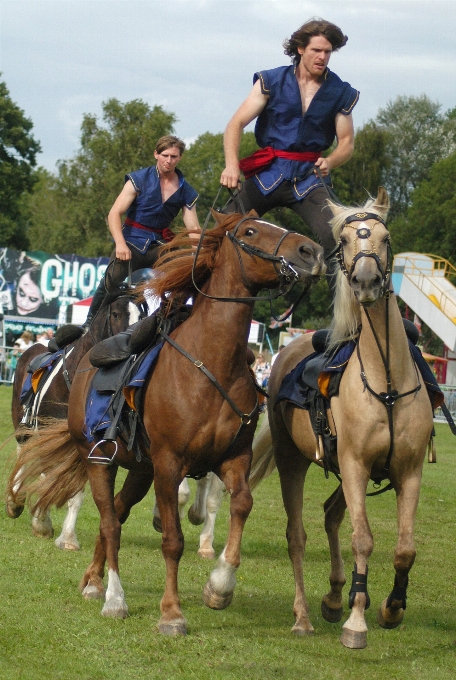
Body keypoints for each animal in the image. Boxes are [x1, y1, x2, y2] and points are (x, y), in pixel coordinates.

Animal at [7, 290, 141, 548]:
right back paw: (14, 500)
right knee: (23, 452)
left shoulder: (87, 447)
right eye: (116, 314)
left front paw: (68, 537)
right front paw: (42, 522)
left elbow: (75, 493)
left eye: (143, 313)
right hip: (23, 426)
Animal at [249, 189, 434, 652]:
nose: (366, 282)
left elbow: (404, 548)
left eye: (385, 238)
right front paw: (357, 621)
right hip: (294, 460)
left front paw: (390, 607)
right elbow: (362, 540)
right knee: (298, 534)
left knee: (332, 514)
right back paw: (305, 614)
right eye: (346, 241)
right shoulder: (353, 464)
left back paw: (335, 595)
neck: (387, 381)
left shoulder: (408, 470)